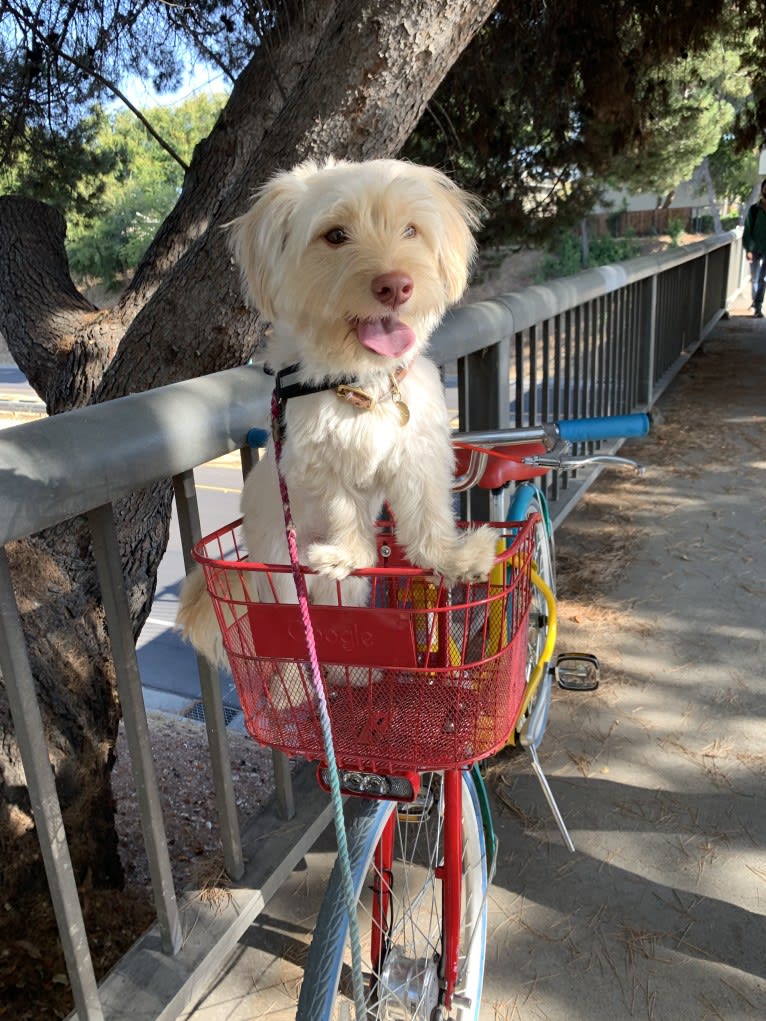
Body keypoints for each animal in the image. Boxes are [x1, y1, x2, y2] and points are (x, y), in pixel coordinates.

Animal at [176, 159, 494, 665]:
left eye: (411, 229)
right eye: (335, 235)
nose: (395, 285)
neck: (361, 383)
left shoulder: (418, 456)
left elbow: (427, 513)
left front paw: (451, 559)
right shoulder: (319, 463)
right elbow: (344, 510)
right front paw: (350, 556)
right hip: (284, 581)